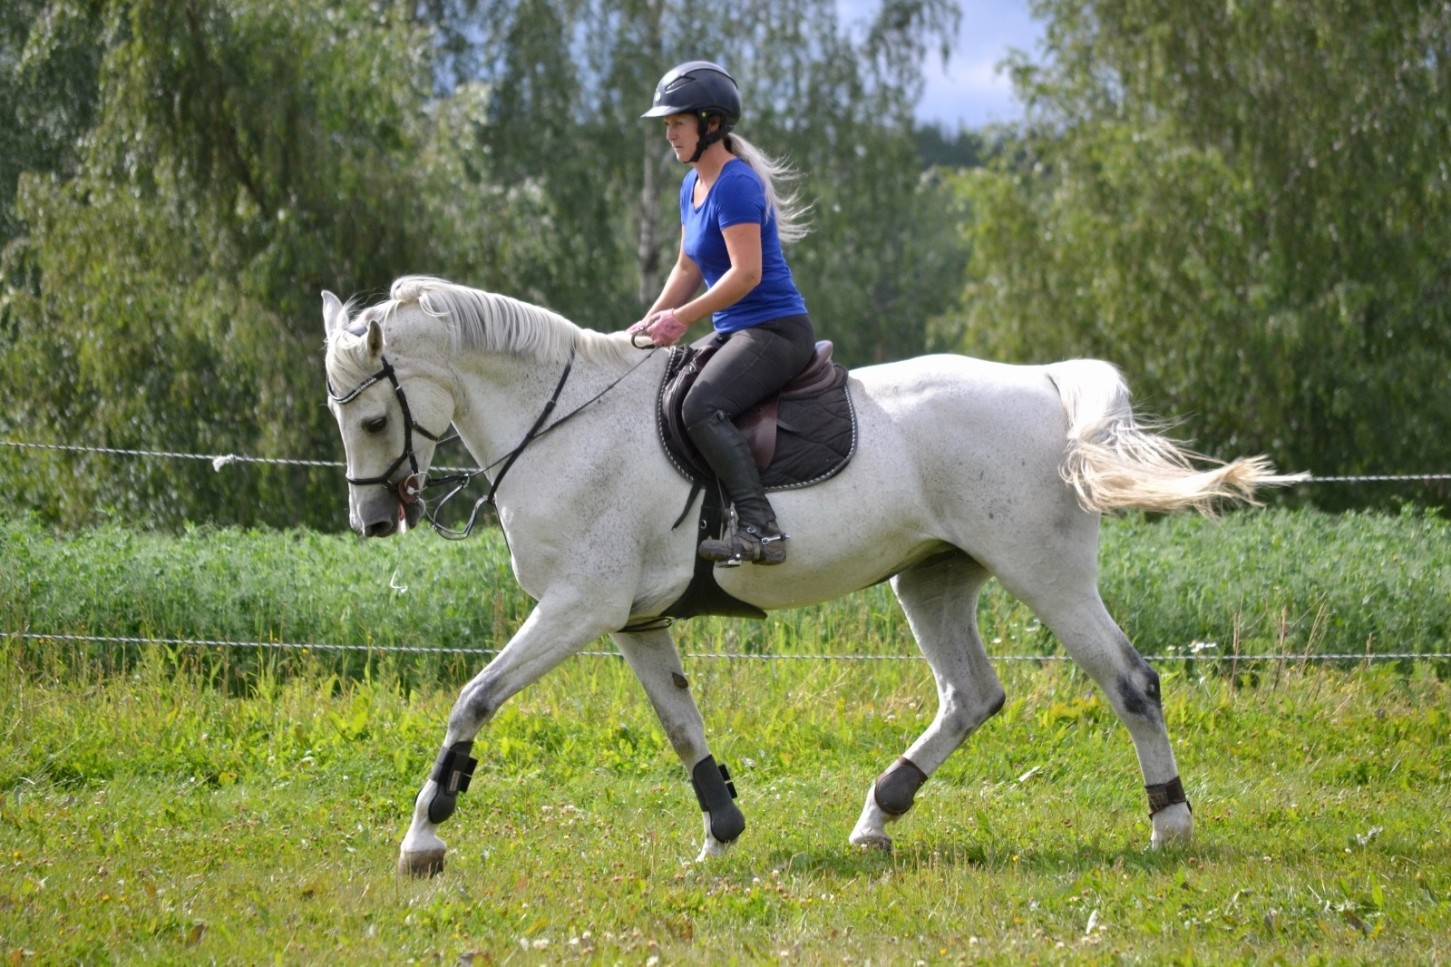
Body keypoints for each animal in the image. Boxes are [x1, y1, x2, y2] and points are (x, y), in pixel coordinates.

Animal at [323, 272, 1300, 871]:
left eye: (371, 418)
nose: (372, 523)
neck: (563, 423)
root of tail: (1044, 384)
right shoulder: (634, 619)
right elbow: (681, 727)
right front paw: (720, 835)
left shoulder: (578, 606)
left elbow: (473, 700)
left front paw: (423, 838)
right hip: (932, 576)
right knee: (971, 695)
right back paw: (877, 817)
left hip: (1043, 572)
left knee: (1128, 681)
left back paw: (1169, 823)